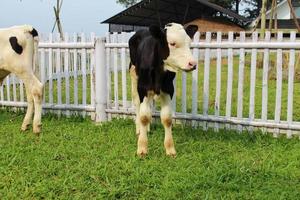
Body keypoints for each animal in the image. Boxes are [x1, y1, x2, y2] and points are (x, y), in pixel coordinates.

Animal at [128, 22, 197, 156]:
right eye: (172, 43)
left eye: (189, 43)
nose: (193, 63)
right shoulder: (143, 88)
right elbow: (144, 117)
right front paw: (142, 148)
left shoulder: (168, 89)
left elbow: (167, 118)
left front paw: (170, 149)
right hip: (134, 76)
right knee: (137, 104)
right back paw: (139, 129)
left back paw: (147, 129)